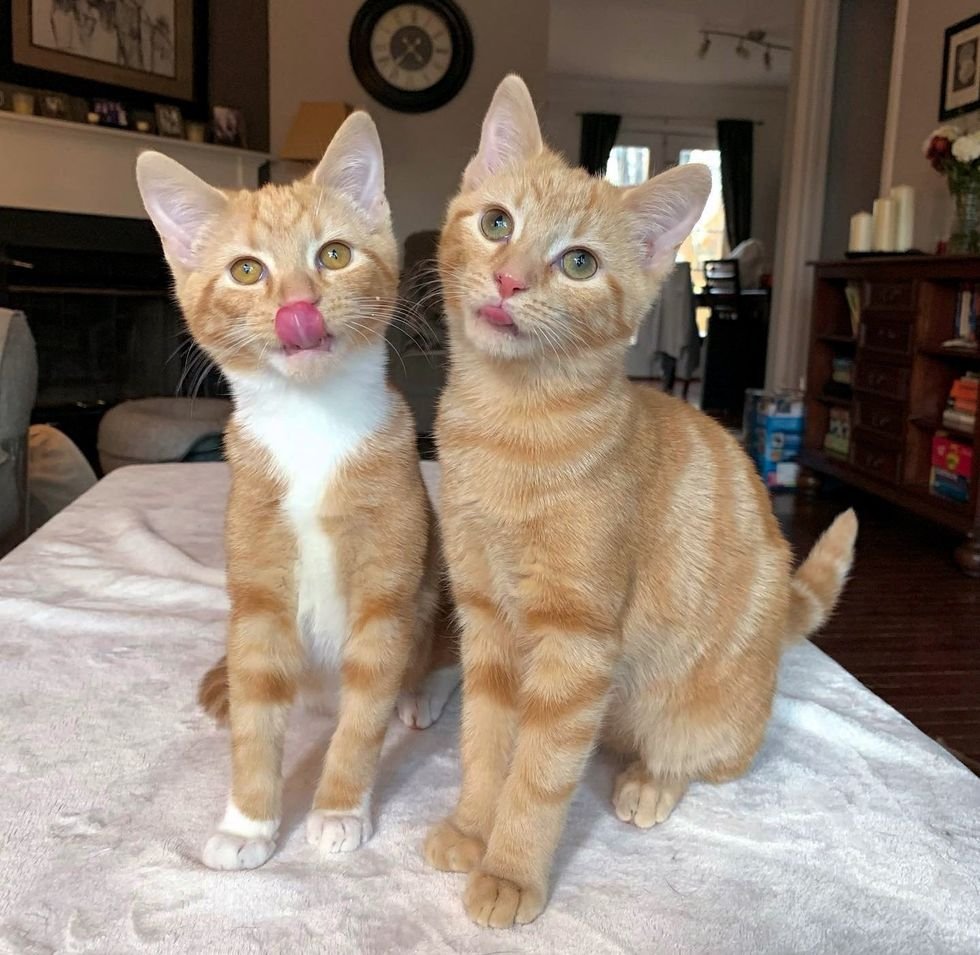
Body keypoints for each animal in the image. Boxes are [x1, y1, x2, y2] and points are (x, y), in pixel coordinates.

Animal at [135, 114, 460, 872]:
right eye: (247, 270)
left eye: (334, 254)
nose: (299, 309)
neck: (313, 427)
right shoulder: (256, 594)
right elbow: (256, 710)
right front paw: (248, 821)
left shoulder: (385, 590)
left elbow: (365, 711)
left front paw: (339, 806)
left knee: (440, 647)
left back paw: (423, 690)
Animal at [424, 78, 852, 928]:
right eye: (497, 224)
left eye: (579, 263)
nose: (510, 280)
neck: (508, 424)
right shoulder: (485, 617)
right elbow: (486, 739)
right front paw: (471, 824)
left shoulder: (577, 643)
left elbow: (539, 770)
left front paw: (510, 867)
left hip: (698, 711)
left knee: (711, 756)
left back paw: (652, 779)